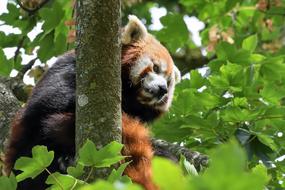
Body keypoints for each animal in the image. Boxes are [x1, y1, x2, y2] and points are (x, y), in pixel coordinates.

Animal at [3, 15, 180, 190]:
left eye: (168, 82)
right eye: (156, 68)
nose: (163, 89)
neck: (128, 94)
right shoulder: (69, 69)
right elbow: (49, 102)